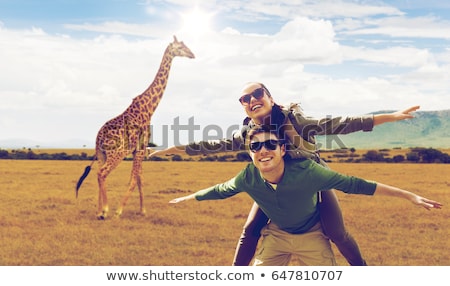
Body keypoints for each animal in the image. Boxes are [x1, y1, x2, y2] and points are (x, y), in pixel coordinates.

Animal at [76, 35, 195, 219]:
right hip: (116, 154)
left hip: (102, 154)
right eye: (180, 47)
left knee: (99, 173)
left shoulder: (138, 149)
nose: (192, 54)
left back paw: (99, 211)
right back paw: (105, 210)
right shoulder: (141, 146)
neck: (149, 107)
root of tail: (98, 138)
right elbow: (134, 179)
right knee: (102, 173)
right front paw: (119, 210)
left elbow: (140, 178)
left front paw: (142, 210)